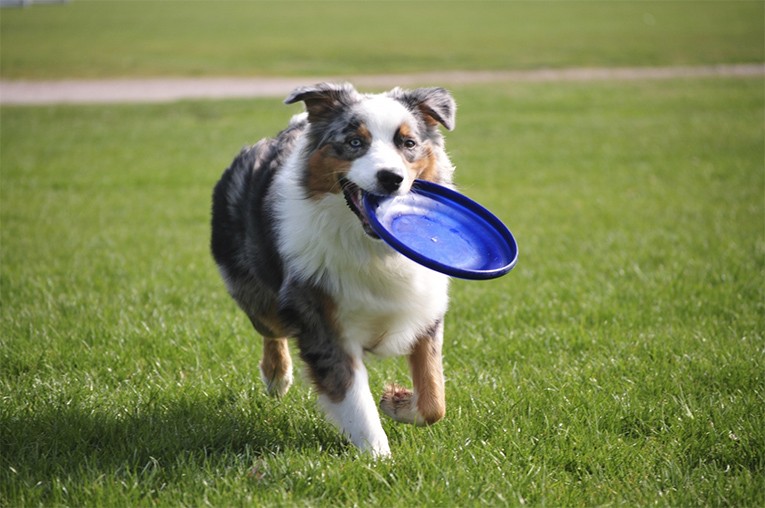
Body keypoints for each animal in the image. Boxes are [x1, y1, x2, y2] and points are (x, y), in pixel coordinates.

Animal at [210, 82, 454, 456]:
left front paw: (396, 402)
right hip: (258, 296)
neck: (371, 247)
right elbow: (355, 400)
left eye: (408, 143)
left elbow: (433, 400)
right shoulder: (322, 321)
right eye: (354, 142)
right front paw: (379, 458)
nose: (391, 178)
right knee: (271, 329)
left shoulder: (424, 308)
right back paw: (276, 377)